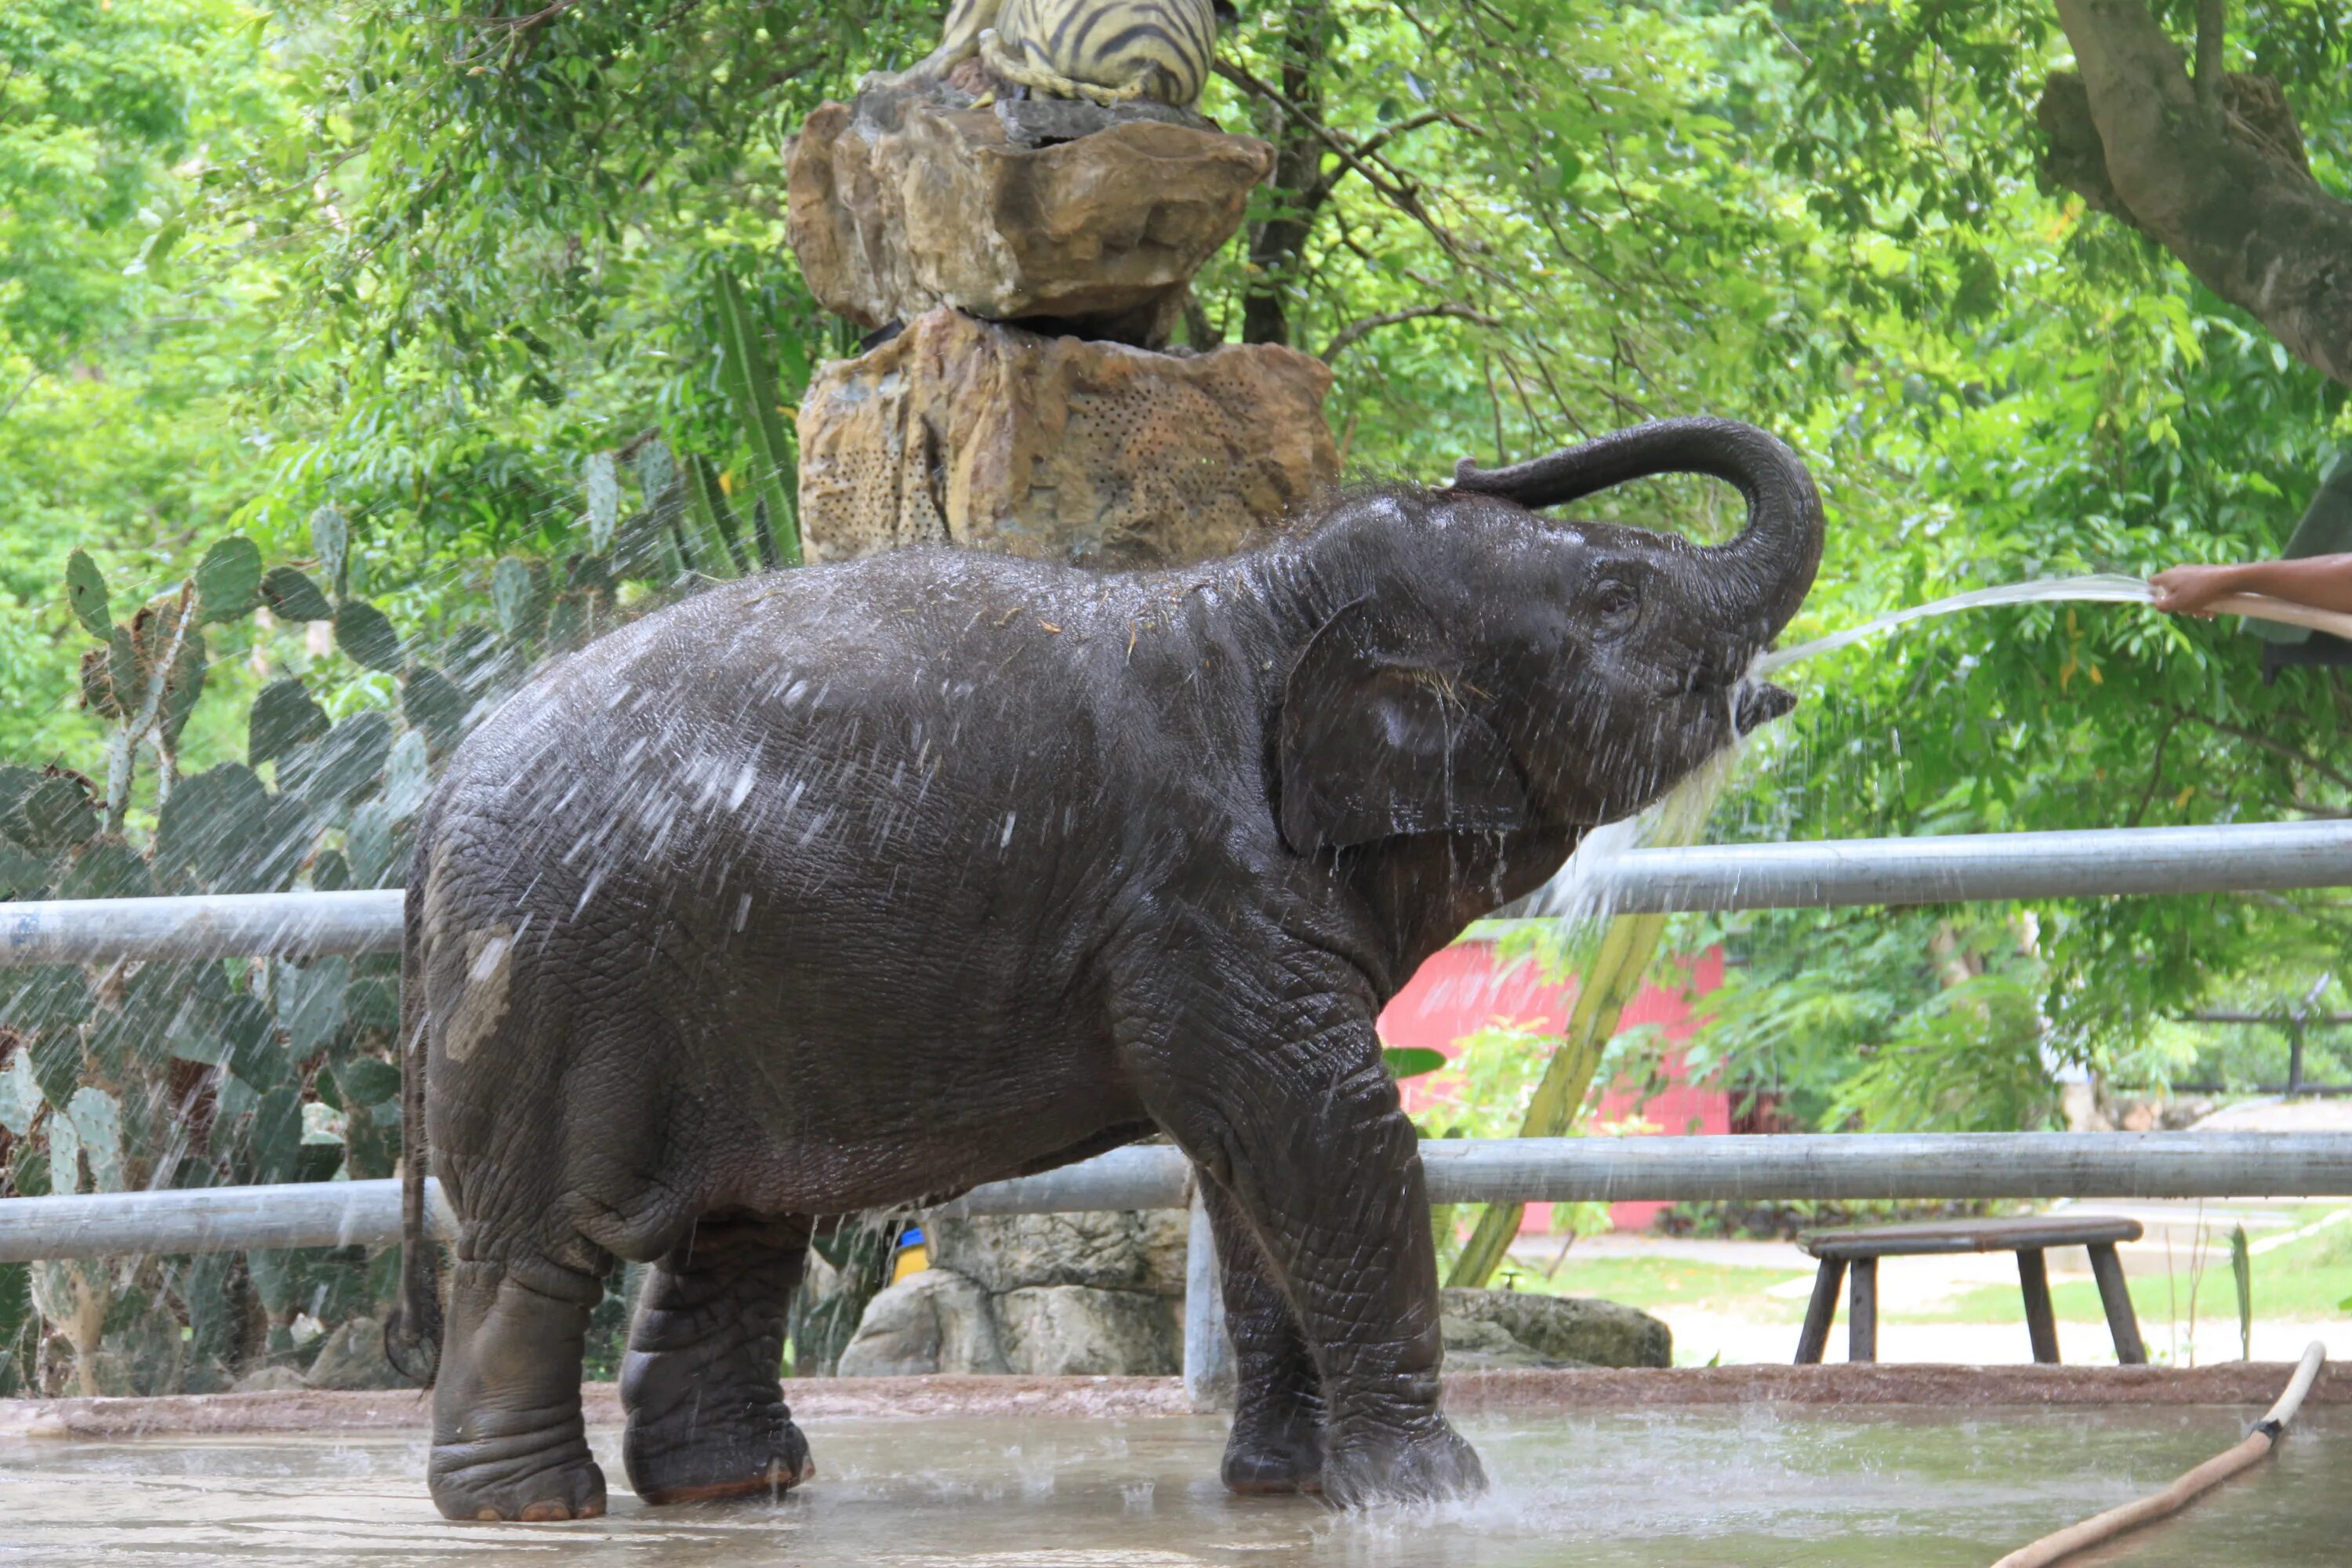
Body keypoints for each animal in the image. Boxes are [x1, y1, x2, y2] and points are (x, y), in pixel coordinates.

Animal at [390, 416, 1816, 1523]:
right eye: (1618, 597)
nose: (1475, 461)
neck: (1263, 590)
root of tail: (440, 794)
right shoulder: (1198, 890)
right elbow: (1327, 1129)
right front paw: (1435, 1501)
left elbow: (1253, 1171)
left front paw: (1295, 1490)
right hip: (553, 978)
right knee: (542, 1246)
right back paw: (535, 1508)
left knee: (736, 1228)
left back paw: (734, 1489)